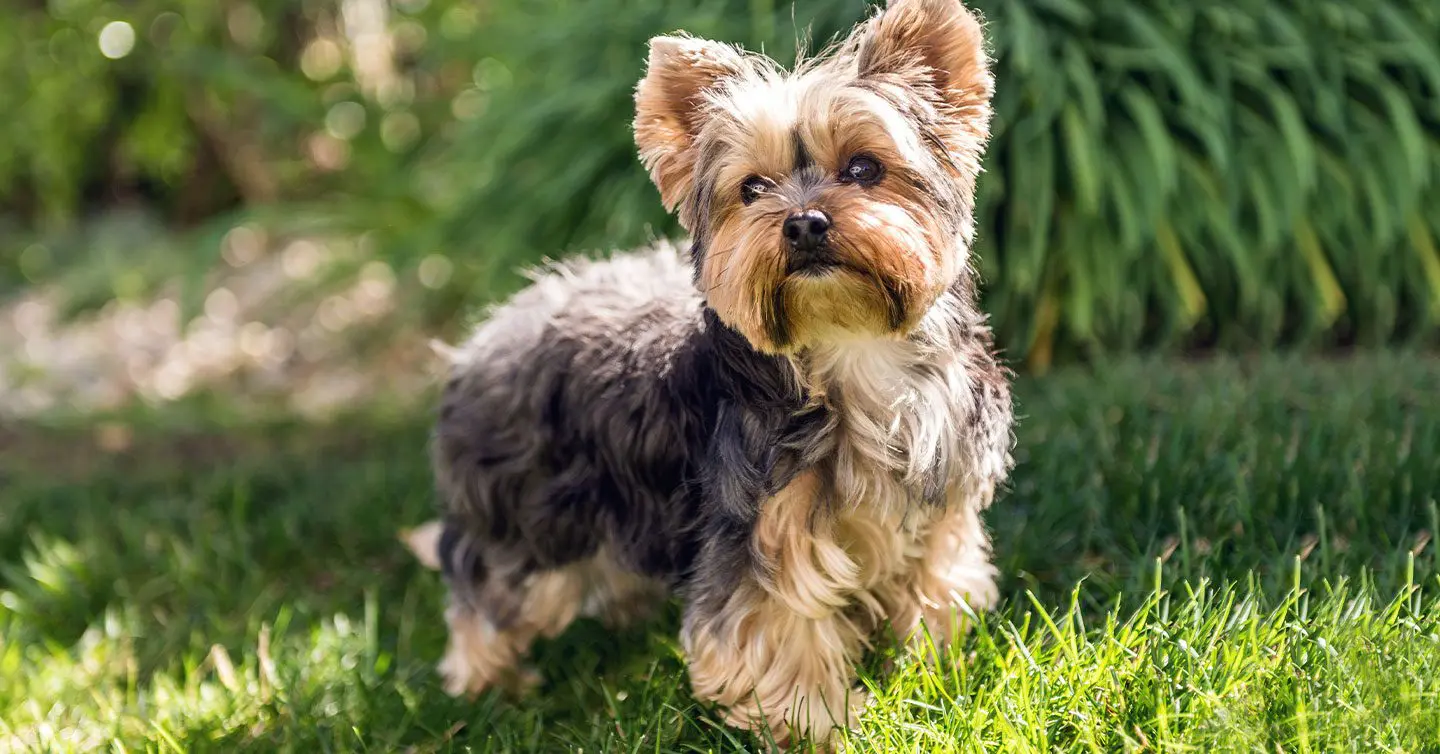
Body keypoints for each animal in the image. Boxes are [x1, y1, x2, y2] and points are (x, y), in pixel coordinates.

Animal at [403, 0, 1013, 742]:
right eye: (752, 189)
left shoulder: (939, 503)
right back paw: (486, 686)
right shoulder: (759, 530)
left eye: (865, 168)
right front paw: (817, 728)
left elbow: (934, 585)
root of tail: (482, 339)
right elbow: (777, 633)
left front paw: (930, 671)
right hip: (529, 514)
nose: (803, 224)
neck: (850, 347)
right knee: (485, 583)